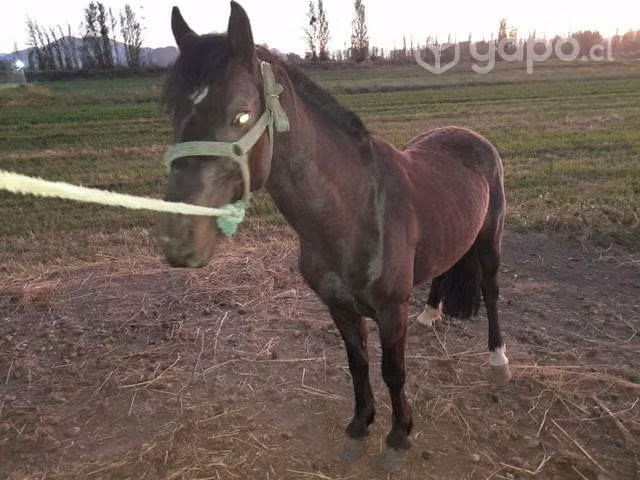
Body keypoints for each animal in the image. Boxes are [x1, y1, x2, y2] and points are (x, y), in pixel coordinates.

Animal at [156, 1, 511, 472]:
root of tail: (470, 136)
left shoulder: (390, 312)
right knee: (442, 269)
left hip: (490, 241)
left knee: (490, 290)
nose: (178, 239)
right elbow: (357, 365)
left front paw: (399, 435)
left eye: (241, 115)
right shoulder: (338, 307)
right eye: (172, 110)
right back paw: (430, 314)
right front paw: (360, 425)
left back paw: (499, 359)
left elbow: (392, 372)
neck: (354, 213)